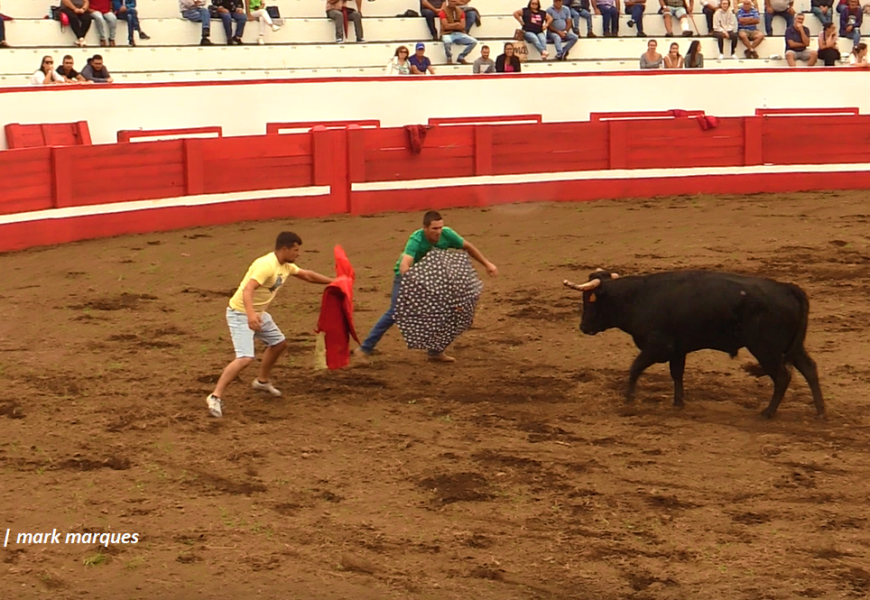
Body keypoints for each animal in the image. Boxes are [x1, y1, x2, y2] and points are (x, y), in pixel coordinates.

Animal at [564, 270, 828, 420]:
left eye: (590, 300)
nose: (583, 327)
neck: (638, 297)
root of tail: (787, 288)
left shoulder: (657, 348)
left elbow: (635, 368)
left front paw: (629, 398)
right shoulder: (678, 350)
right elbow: (676, 374)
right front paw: (678, 402)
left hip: (767, 349)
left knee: (783, 377)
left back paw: (768, 412)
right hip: (791, 347)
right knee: (809, 369)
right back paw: (820, 411)